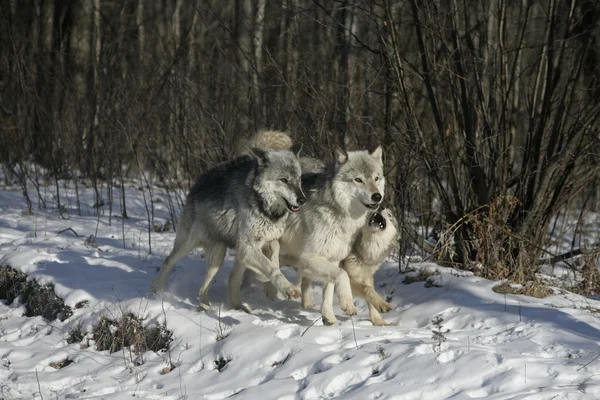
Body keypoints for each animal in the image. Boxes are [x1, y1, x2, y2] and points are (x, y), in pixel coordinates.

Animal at [152, 130, 308, 310]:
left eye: (299, 179)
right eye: (283, 180)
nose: (302, 200)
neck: (264, 207)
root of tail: (202, 177)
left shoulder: (269, 240)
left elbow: (274, 259)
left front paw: (266, 282)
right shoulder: (247, 247)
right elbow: (271, 268)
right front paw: (288, 288)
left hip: (218, 257)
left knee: (214, 284)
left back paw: (220, 307)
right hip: (190, 244)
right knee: (168, 261)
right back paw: (157, 291)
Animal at [230, 145, 384, 324]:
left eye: (376, 178)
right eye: (358, 180)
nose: (377, 196)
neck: (336, 212)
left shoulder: (333, 258)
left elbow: (329, 289)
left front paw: (329, 318)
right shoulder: (308, 258)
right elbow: (343, 274)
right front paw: (348, 304)